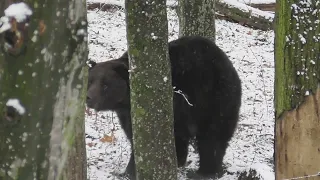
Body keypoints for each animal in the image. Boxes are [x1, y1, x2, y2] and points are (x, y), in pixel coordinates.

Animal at [86, 35, 241, 179]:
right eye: (91, 81)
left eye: (105, 85)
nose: (89, 98)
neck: (127, 101)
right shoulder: (128, 114)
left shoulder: (170, 105)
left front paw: (131, 171)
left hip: (214, 100)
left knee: (212, 137)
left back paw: (204, 172)